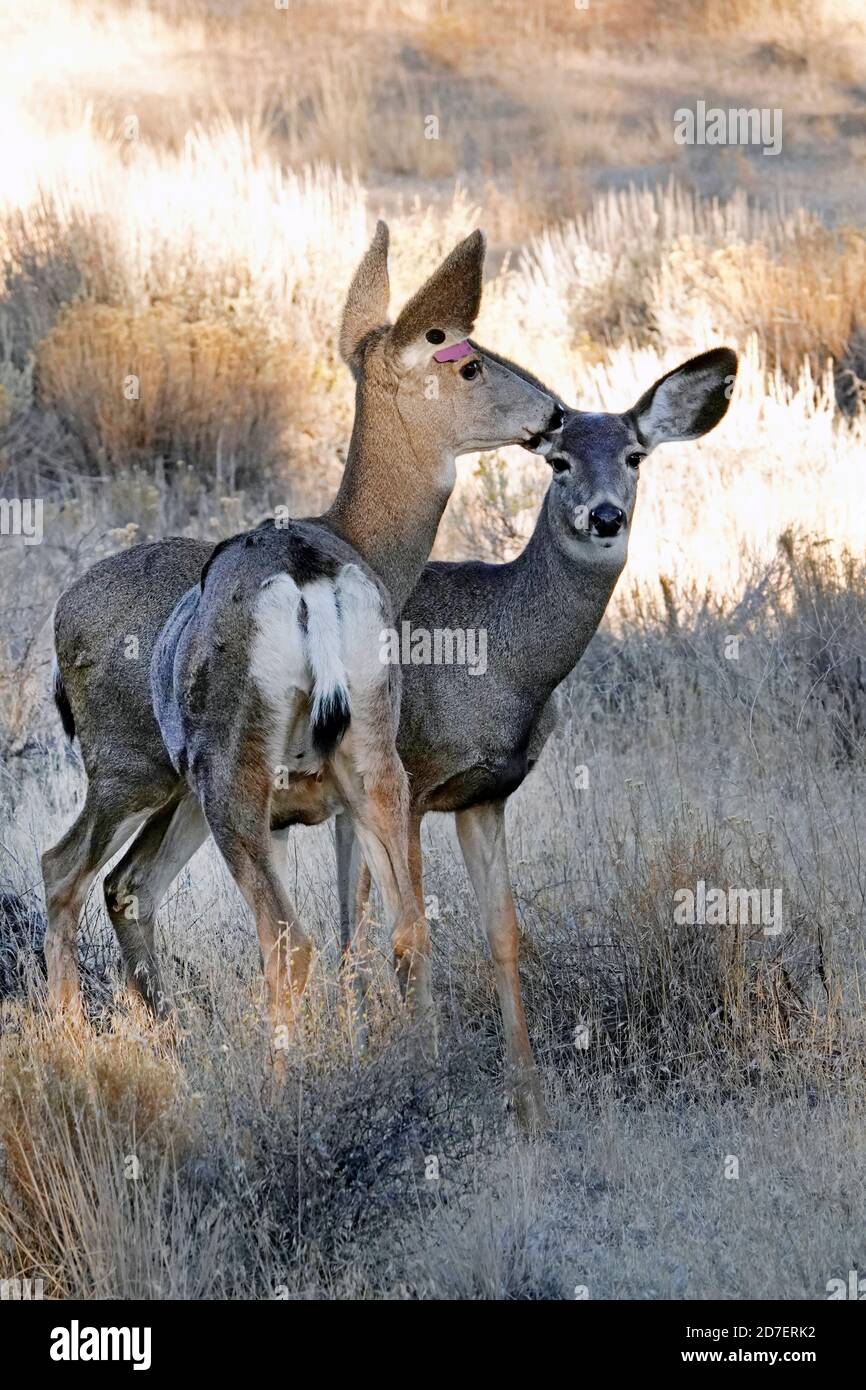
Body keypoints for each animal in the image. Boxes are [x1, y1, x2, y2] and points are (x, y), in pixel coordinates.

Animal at [44, 222, 561, 1045]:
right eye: (470, 360)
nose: (557, 414)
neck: (351, 536)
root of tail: (64, 614)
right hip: (183, 769)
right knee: (80, 877)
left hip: (198, 777)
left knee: (131, 890)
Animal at [335, 347, 733, 1128]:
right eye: (558, 461)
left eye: (635, 455)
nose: (605, 515)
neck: (502, 662)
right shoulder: (414, 779)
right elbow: (414, 933)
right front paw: (430, 1075)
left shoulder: (484, 794)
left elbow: (504, 932)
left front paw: (531, 1108)